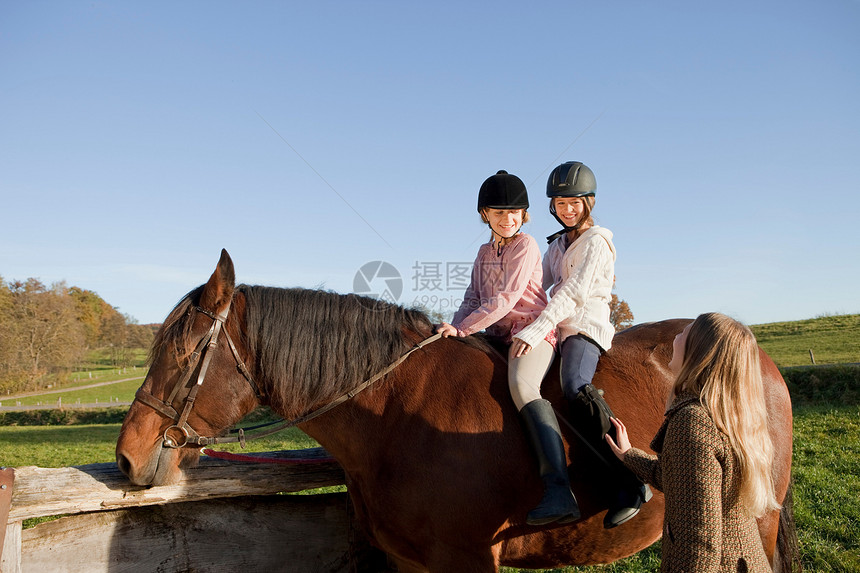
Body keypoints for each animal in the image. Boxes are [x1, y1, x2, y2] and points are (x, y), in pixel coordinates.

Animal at [114, 251, 800, 572]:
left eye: (182, 353)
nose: (128, 456)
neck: (395, 414)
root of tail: (755, 351)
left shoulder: (467, 561)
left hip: (757, 518)